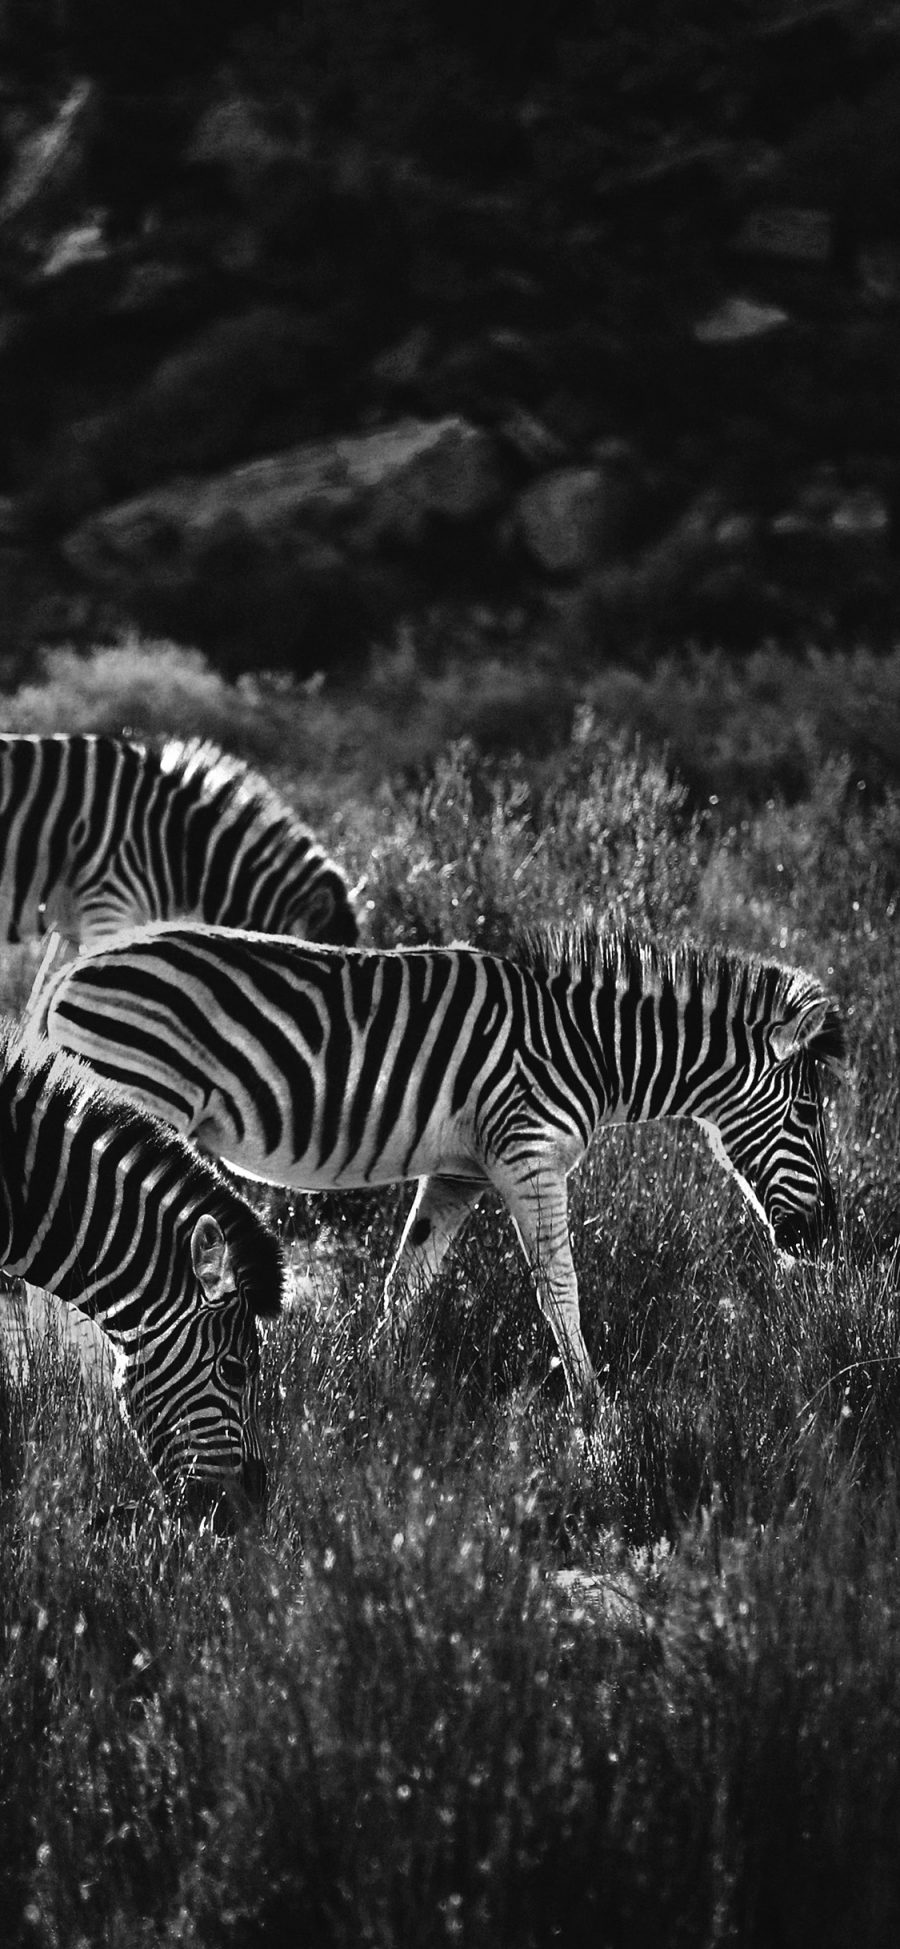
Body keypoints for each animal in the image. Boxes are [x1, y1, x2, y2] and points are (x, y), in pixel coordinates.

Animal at [35, 919, 845, 1426]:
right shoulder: (528, 1156)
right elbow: (559, 1286)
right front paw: (593, 1410)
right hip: (136, 1096)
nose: (824, 1237)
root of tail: (67, 976)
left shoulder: (462, 1174)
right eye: (808, 1114)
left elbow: (407, 1282)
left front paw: (366, 1386)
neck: (589, 1049)